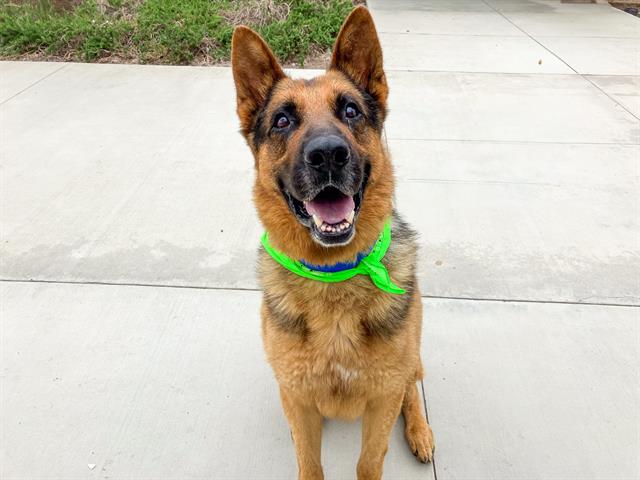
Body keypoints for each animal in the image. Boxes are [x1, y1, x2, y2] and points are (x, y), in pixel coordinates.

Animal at [230, 5, 436, 478]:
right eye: (282, 120)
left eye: (350, 110)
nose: (327, 154)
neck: (334, 274)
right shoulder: (297, 396)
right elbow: (310, 462)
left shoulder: (381, 400)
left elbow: (369, 461)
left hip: (410, 359)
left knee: (412, 390)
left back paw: (420, 431)